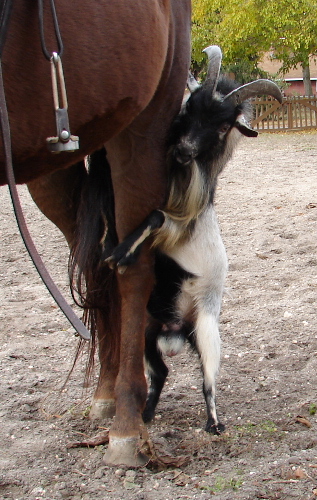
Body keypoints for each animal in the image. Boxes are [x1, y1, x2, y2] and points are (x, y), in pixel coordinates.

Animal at [0, 1, 190, 466]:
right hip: (52, 163)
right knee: (99, 267)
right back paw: (108, 393)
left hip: (141, 130)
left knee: (132, 272)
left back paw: (126, 423)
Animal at [107, 47, 282, 436]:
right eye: (189, 107)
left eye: (222, 126)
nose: (184, 151)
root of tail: (176, 331)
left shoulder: (178, 227)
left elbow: (156, 216)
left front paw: (119, 254)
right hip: (147, 330)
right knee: (160, 371)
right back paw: (145, 415)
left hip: (206, 328)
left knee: (208, 380)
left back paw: (214, 424)